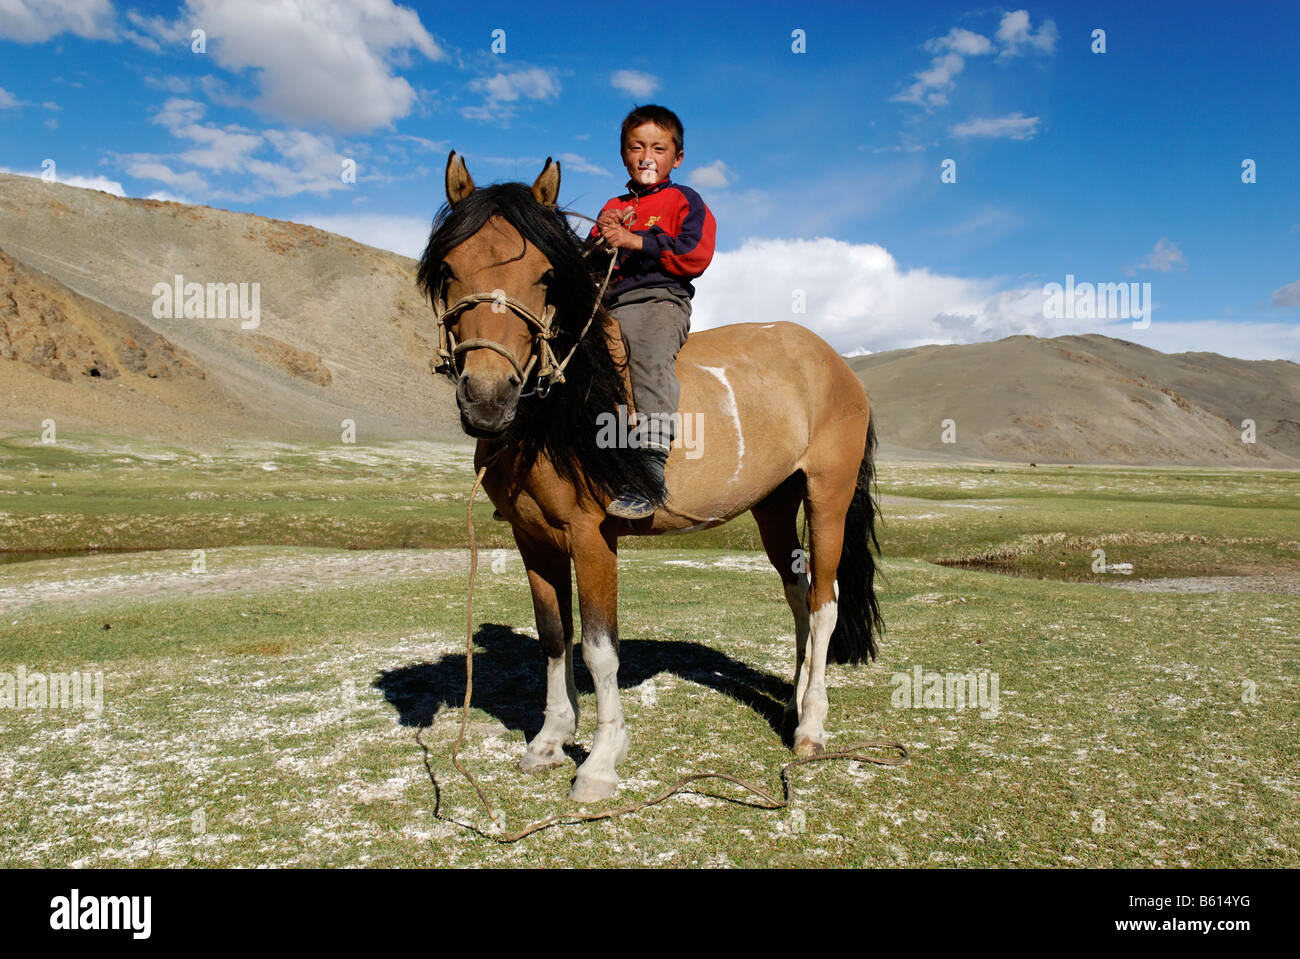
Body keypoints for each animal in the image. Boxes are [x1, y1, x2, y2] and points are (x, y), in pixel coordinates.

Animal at [416, 155, 883, 800]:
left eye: (545, 277)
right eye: (448, 270)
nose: (487, 398)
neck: (562, 408)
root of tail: (835, 362)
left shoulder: (591, 537)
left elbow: (599, 649)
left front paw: (600, 761)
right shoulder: (533, 539)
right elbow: (554, 636)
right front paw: (550, 740)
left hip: (827, 498)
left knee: (824, 603)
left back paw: (811, 725)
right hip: (772, 505)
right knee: (797, 592)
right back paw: (791, 703)